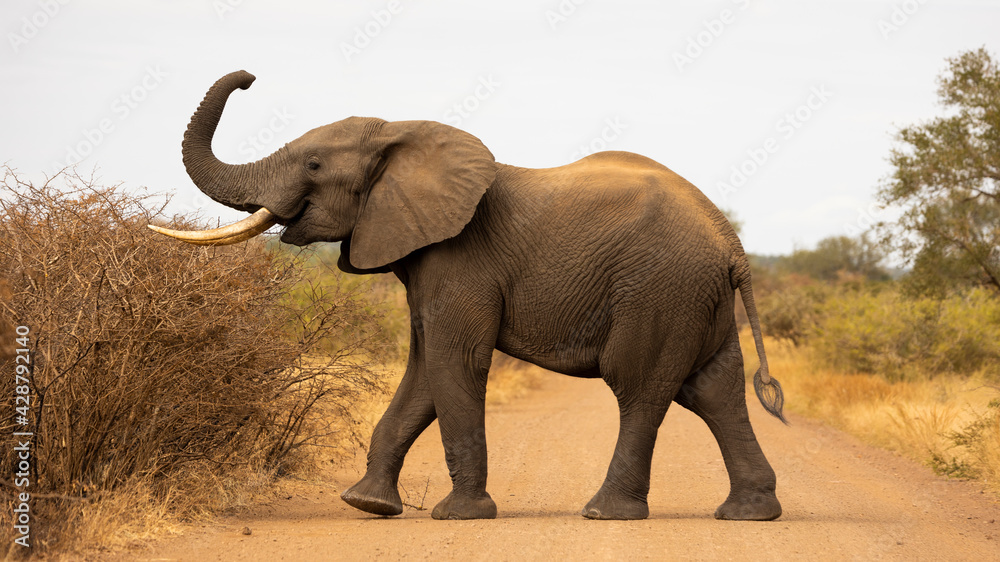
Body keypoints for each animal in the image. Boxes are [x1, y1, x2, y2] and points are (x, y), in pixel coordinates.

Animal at [151, 70, 786, 522]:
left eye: (312, 163)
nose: (249, 77)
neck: (401, 134)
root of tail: (730, 244)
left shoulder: (461, 261)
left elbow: (454, 362)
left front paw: (459, 515)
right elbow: (422, 370)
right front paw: (367, 505)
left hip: (659, 290)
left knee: (639, 385)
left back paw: (605, 513)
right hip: (695, 298)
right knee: (714, 389)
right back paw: (749, 513)